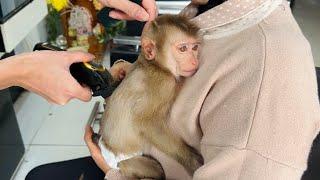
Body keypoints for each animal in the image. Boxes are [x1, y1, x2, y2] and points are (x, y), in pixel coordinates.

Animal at [100, 14, 202, 179]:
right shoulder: (164, 83)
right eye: (183, 49)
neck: (156, 66)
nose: (194, 61)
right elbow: (147, 122)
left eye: (195, 47)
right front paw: (191, 160)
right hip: (129, 161)